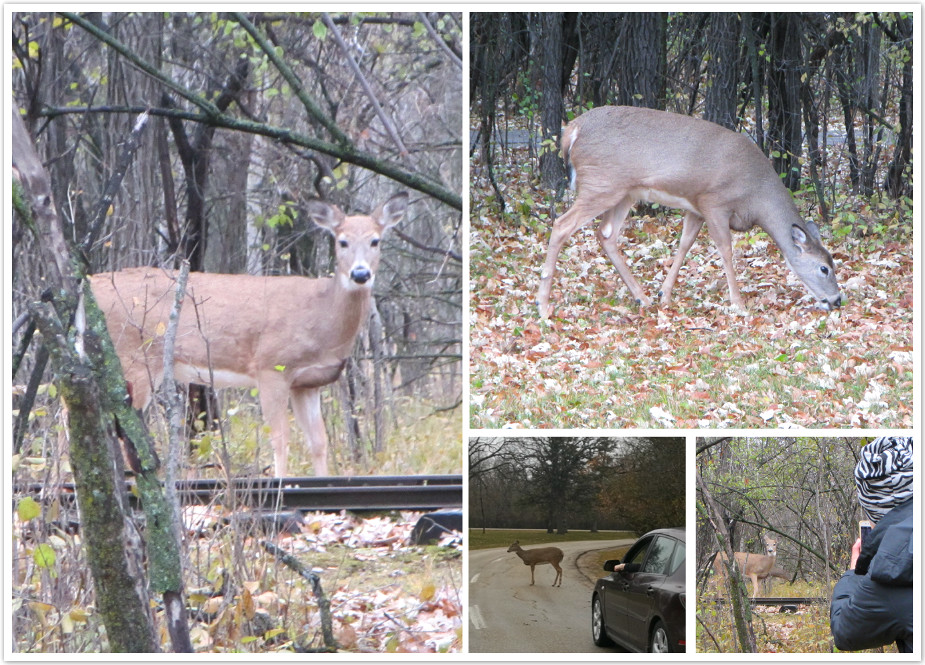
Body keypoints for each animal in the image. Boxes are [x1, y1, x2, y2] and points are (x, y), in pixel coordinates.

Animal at [89, 192, 408, 478]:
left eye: (375, 240)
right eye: (342, 241)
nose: (360, 274)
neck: (321, 315)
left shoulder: (307, 383)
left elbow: (318, 441)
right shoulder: (271, 366)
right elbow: (280, 437)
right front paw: (281, 486)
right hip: (135, 357)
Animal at [532, 105, 840, 318]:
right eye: (824, 268)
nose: (837, 300)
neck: (756, 197)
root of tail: (571, 131)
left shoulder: (697, 207)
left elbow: (684, 244)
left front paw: (664, 293)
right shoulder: (715, 202)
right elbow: (726, 250)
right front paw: (738, 303)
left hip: (624, 191)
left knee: (606, 234)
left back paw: (642, 297)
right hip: (601, 184)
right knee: (562, 224)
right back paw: (543, 304)